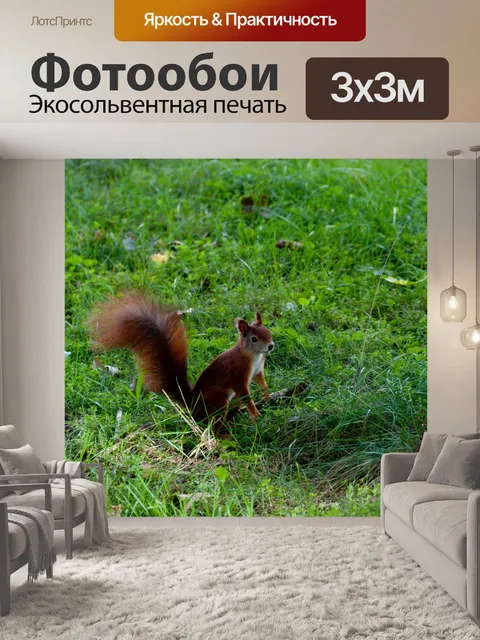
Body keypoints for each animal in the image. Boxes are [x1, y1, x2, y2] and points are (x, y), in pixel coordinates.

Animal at [89, 292, 275, 431]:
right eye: (254, 339)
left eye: (268, 331)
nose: (271, 346)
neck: (254, 356)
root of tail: (193, 405)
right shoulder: (238, 374)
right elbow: (245, 393)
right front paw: (255, 414)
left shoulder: (257, 370)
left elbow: (262, 382)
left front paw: (266, 395)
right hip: (219, 401)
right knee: (212, 426)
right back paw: (223, 435)